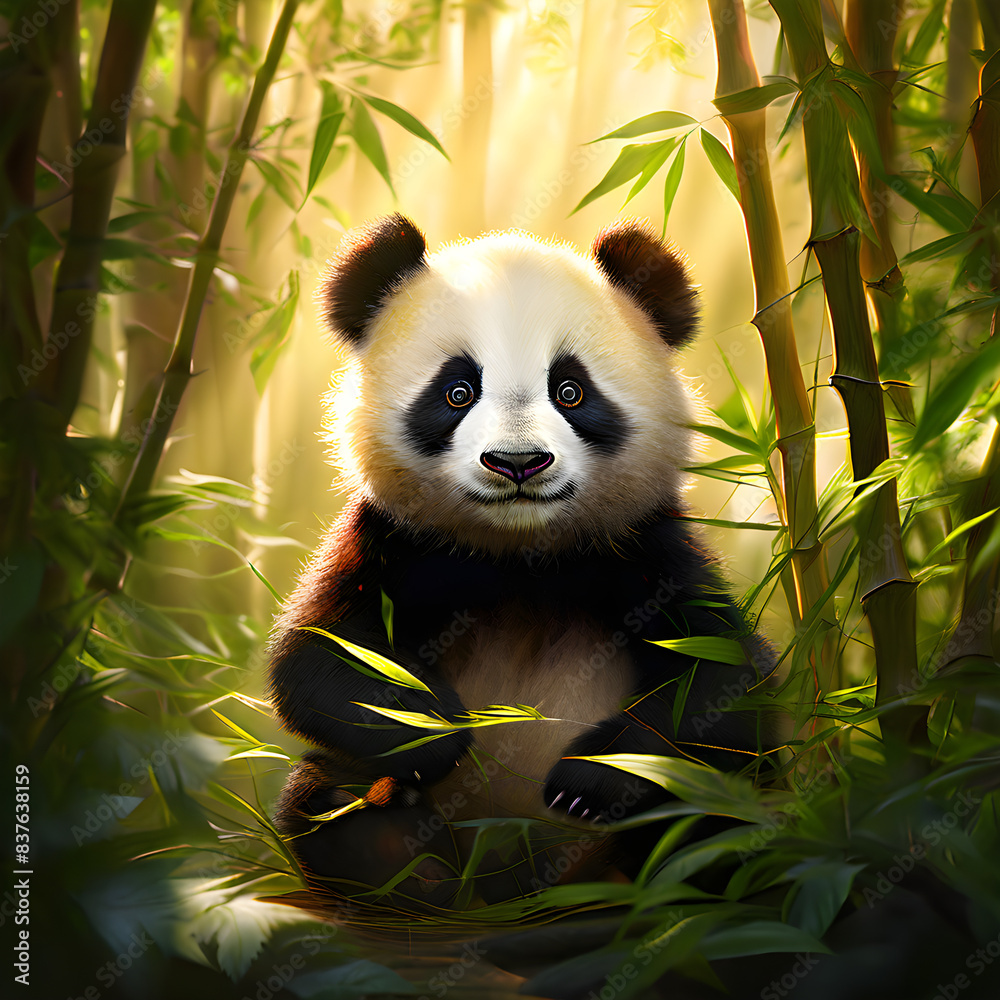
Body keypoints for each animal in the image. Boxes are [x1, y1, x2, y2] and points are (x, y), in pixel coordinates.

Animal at [268, 213, 774, 907]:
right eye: (457, 391)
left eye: (571, 391)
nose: (517, 463)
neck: (520, 552)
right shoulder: (394, 545)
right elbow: (321, 659)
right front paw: (439, 731)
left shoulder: (642, 549)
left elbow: (720, 679)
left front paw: (588, 779)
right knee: (326, 801)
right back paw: (404, 867)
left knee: (715, 815)